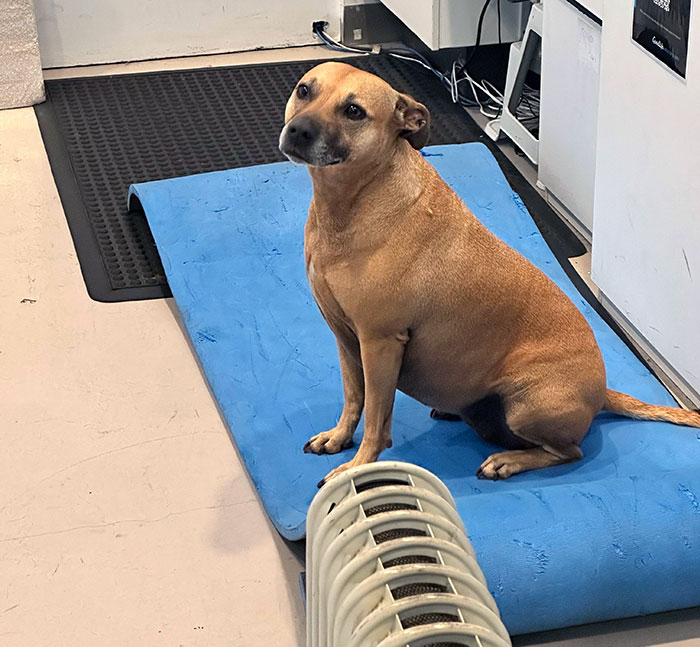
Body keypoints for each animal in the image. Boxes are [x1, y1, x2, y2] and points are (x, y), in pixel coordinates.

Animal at [278, 62, 700, 486]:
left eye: (354, 111)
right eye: (304, 90)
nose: (298, 130)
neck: (351, 202)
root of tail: (602, 392)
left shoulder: (380, 343)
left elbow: (377, 420)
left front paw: (359, 466)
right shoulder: (346, 338)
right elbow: (354, 397)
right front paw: (338, 437)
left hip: (527, 404)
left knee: (569, 452)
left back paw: (508, 461)